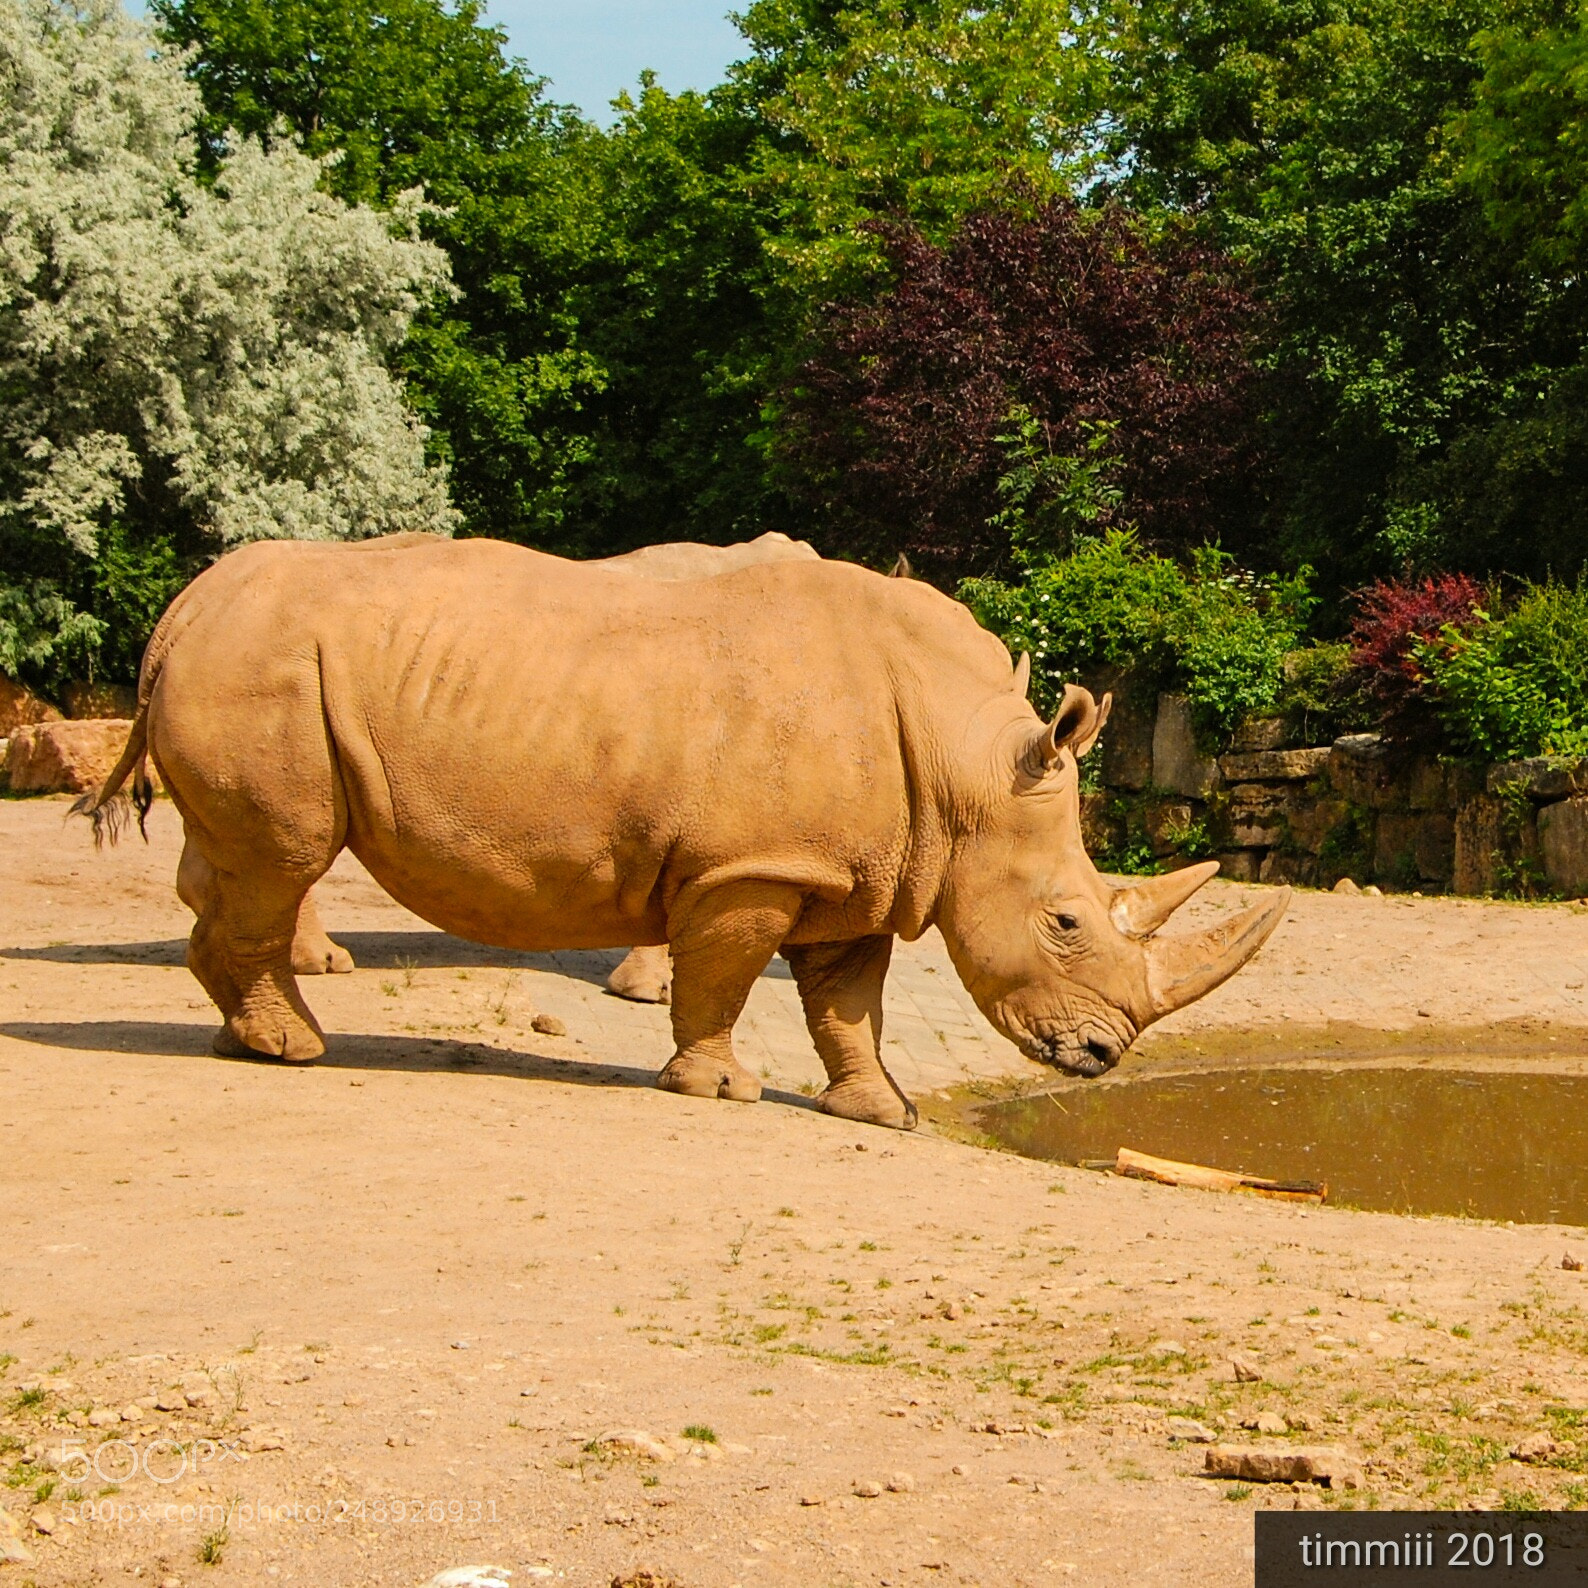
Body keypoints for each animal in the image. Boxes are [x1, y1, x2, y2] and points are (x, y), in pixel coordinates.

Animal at [77, 534, 1287, 1130]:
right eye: (1067, 922)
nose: (1101, 1057)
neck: (966, 768)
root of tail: (182, 607)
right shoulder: (749, 869)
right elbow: (725, 979)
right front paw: (715, 1091)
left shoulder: (855, 875)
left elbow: (849, 1004)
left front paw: (881, 1112)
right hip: (264, 667)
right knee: (280, 858)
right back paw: (296, 1050)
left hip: (262, 662)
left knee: (242, 866)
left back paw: (250, 1039)